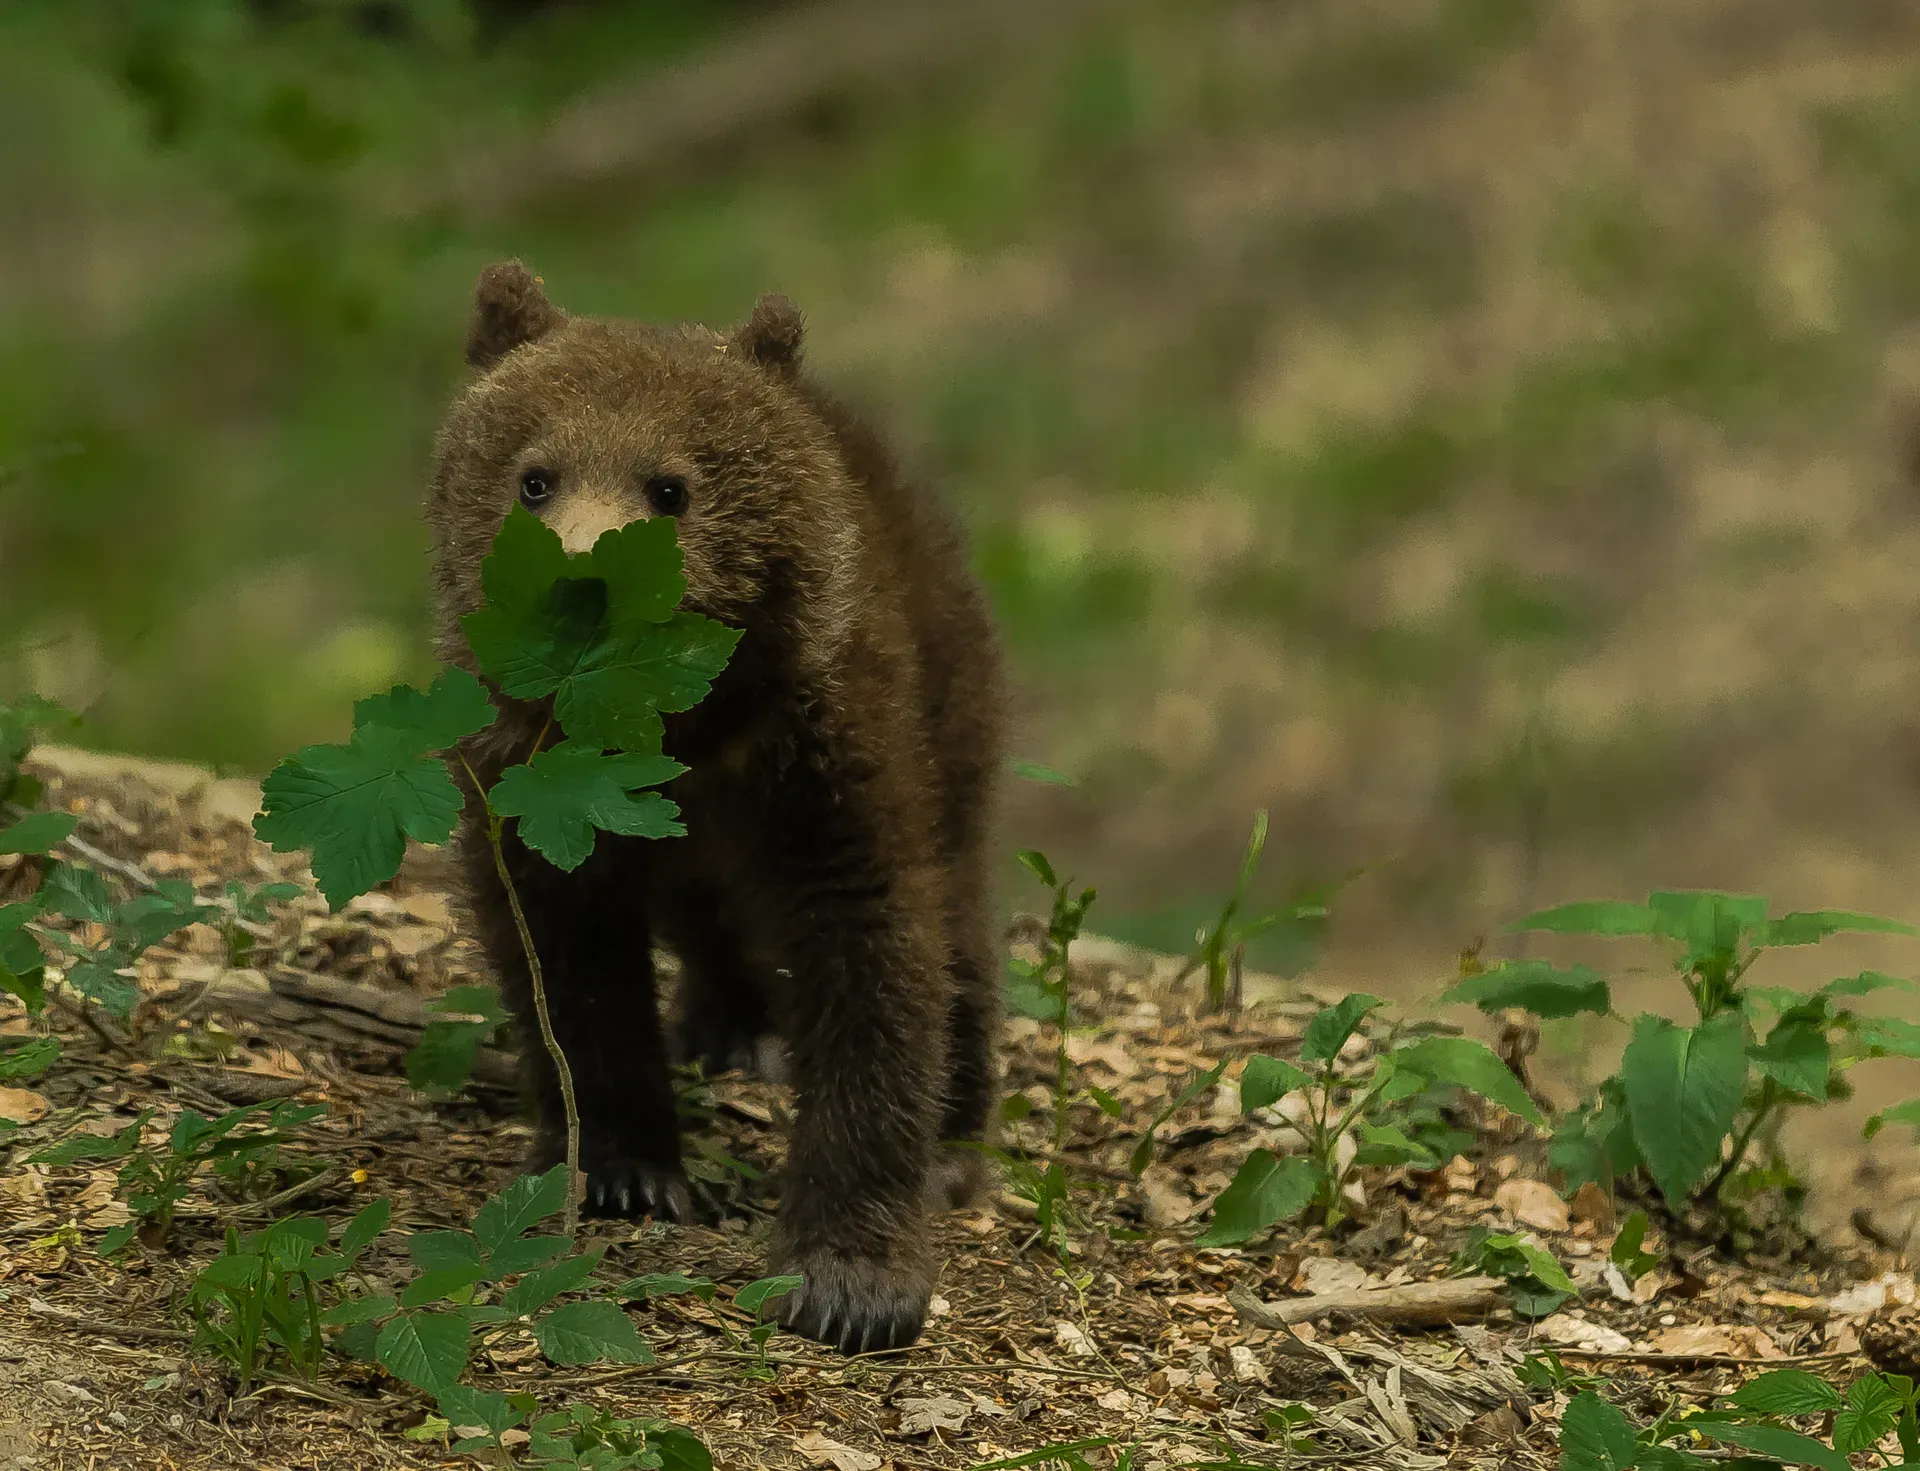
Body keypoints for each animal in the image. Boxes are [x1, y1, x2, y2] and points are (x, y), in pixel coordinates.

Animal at [424, 261, 1007, 1356]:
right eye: (534, 477)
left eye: (671, 486)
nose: (583, 582)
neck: (672, 722)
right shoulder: (539, 776)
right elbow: (568, 963)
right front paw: (624, 1169)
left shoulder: (822, 755)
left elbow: (872, 950)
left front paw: (849, 1277)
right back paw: (728, 1024)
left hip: (952, 690)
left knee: (959, 908)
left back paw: (954, 1133)